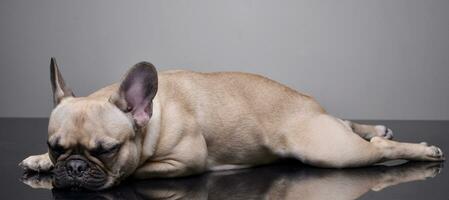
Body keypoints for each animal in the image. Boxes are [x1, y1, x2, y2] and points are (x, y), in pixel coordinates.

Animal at [20, 58, 440, 191]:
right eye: (56, 147)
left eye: (106, 151)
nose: (74, 168)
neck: (154, 114)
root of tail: (308, 103)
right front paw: (39, 161)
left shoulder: (185, 160)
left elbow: (136, 170)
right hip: (329, 131)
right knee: (350, 124)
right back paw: (377, 129)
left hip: (327, 150)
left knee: (377, 151)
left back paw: (422, 150)